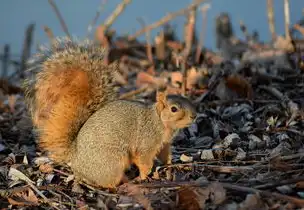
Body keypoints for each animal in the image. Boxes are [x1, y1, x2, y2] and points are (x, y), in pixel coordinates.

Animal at [22, 38, 196, 189]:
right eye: (174, 109)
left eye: (188, 99)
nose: (194, 116)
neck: (160, 122)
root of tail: (74, 156)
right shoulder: (146, 143)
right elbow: (144, 161)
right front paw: (145, 176)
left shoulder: (164, 143)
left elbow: (165, 155)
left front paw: (169, 163)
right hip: (113, 161)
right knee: (107, 183)